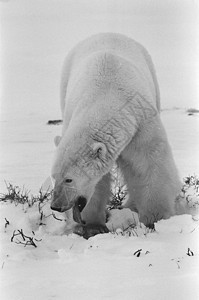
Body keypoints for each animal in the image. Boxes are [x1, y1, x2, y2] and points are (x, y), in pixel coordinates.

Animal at [51, 32, 183, 238]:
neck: (107, 93)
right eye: (53, 176)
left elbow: (149, 165)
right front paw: (93, 226)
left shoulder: (140, 123)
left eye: (68, 179)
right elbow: (98, 182)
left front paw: (155, 219)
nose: (55, 206)